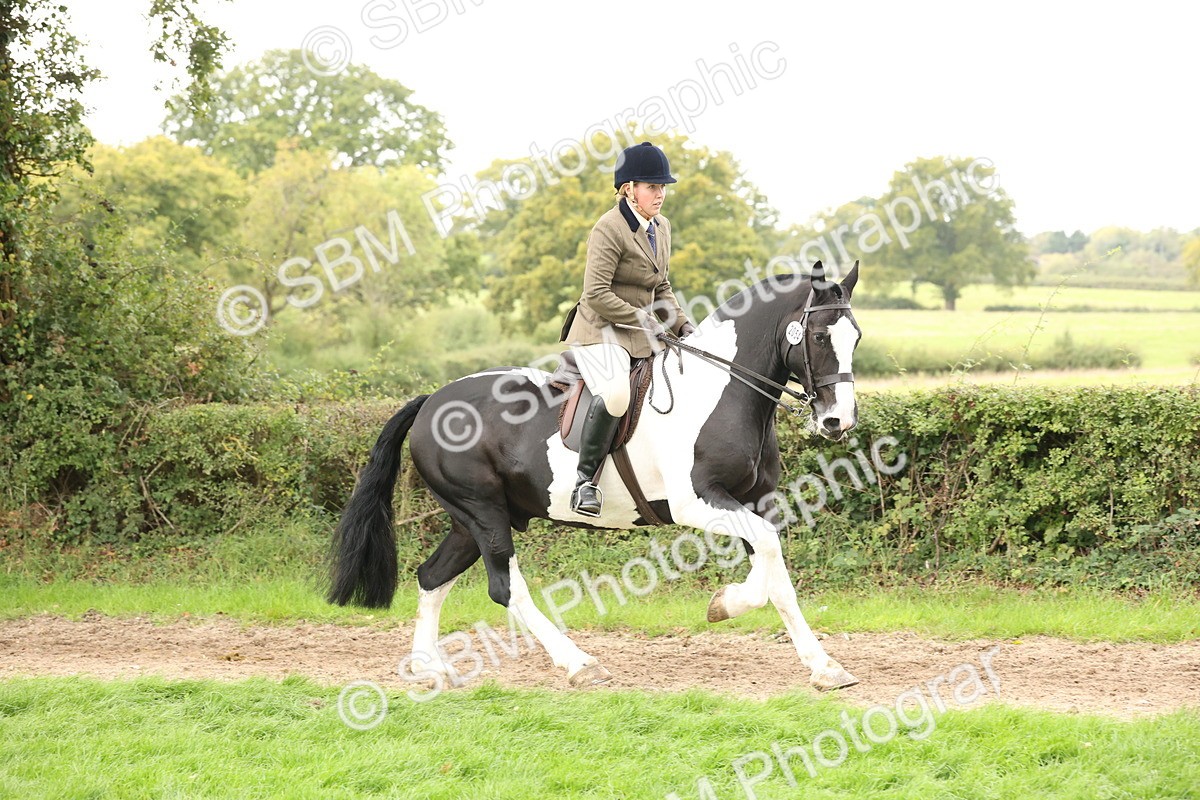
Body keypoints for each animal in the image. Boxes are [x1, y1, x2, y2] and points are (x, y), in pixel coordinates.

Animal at [328, 261, 863, 691]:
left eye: (855, 338)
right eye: (819, 337)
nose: (837, 421)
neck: (723, 390)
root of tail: (430, 401)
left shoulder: (753, 501)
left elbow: (774, 572)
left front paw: (815, 661)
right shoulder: (697, 500)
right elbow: (769, 555)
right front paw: (731, 609)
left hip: (471, 520)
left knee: (431, 576)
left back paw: (428, 667)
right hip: (483, 513)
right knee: (505, 587)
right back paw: (580, 664)